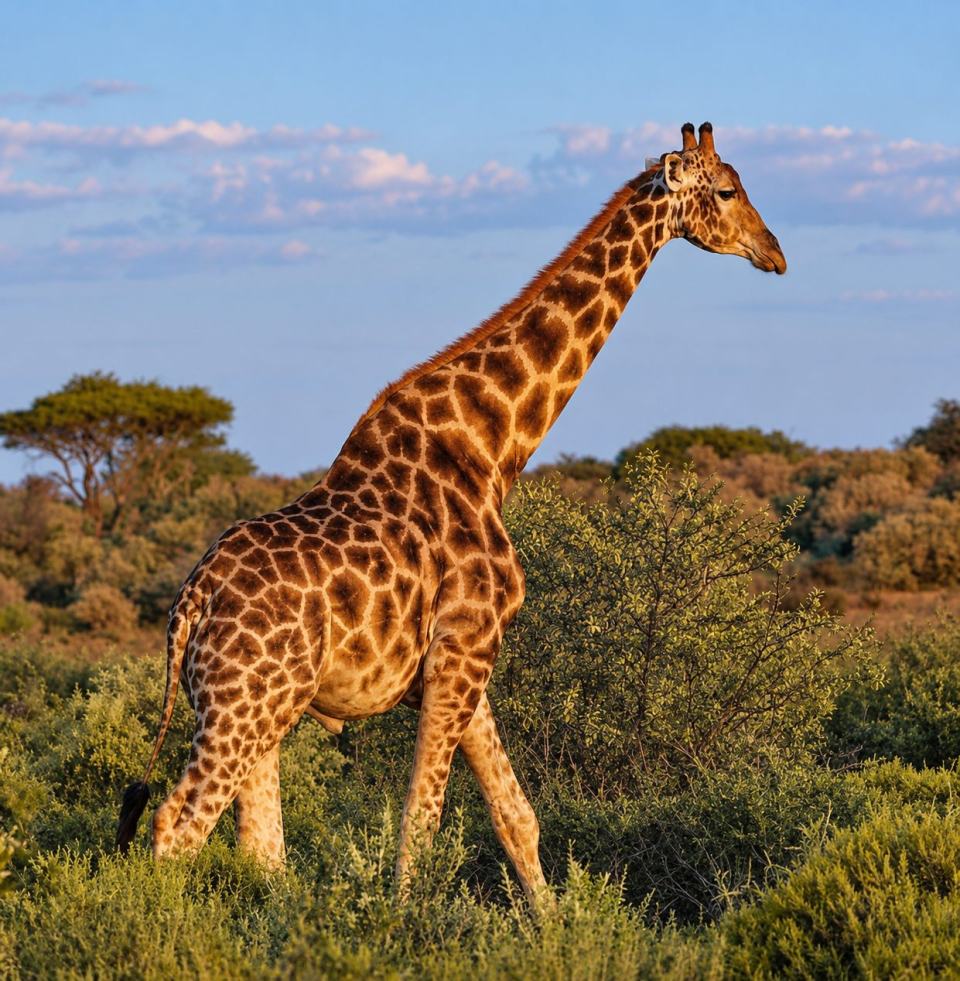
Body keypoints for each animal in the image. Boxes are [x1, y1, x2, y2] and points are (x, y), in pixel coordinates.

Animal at [116, 122, 786, 903]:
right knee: (179, 824)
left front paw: (556, 923)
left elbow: (516, 817)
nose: (775, 252)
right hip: (242, 704)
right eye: (728, 190)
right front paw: (405, 921)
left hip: (257, 703)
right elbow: (423, 825)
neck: (492, 448)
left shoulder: (465, 659)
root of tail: (191, 600)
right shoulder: (464, 647)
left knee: (260, 846)